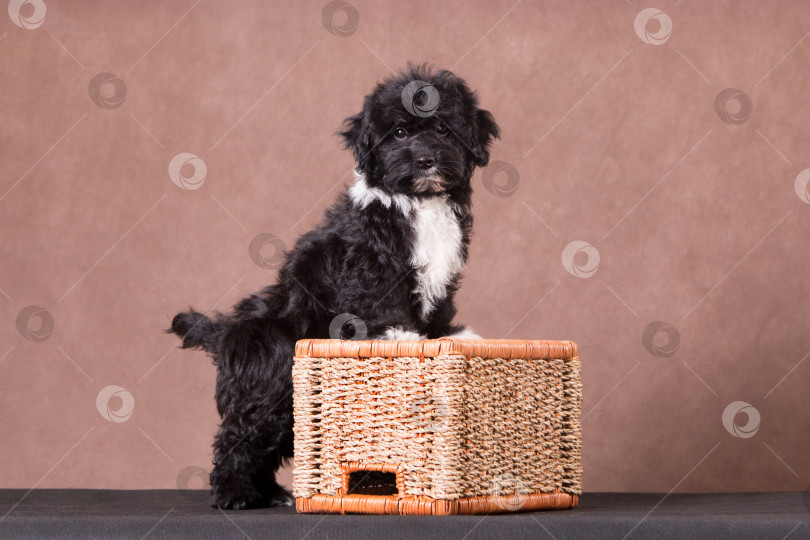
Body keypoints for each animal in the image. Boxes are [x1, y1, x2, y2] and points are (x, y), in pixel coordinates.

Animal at [170, 65, 496, 508]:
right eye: (399, 133)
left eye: (444, 129)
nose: (425, 159)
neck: (420, 201)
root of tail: (227, 334)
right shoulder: (368, 265)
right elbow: (381, 299)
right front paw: (400, 333)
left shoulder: (442, 271)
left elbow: (439, 305)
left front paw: (445, 334)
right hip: (270, 378)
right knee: (240, 436)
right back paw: (235, 493)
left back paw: (271, 493)